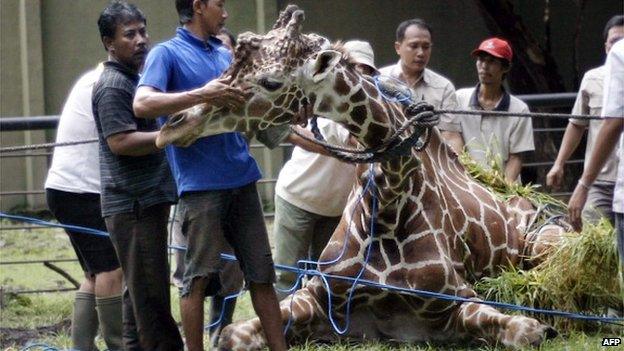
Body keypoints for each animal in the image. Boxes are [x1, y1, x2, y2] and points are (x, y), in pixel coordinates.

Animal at [155, 4, 560, 350]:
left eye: (270, 82)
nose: (172, 126)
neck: (391, 200)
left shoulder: (457, 299)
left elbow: (528, 331)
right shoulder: (321, 297)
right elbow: (232, 334)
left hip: (546, 241)